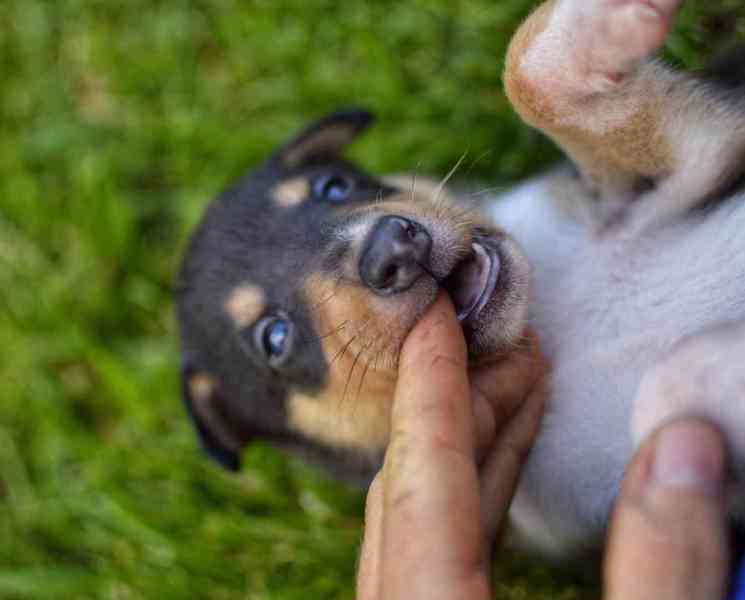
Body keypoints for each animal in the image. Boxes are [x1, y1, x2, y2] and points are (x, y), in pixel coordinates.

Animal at [177, 0, 744, 556]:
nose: (393, 248)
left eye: (333, 186)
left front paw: (605, 21)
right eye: (274, 338)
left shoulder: (699, 157)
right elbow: (673, 380)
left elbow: (526, 72)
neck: (551, 327)